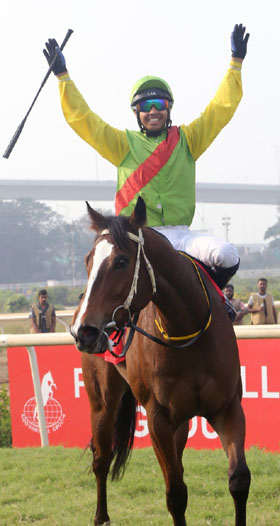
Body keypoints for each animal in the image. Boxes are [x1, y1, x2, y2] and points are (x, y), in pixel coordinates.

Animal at [71, 198, 250, 526]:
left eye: (121, 261)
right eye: (88, 260)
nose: (84, 331)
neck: (187, 329)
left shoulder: (228, 407)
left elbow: (238, 480)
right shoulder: (158, 418)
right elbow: (176, 494)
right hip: (101, 399)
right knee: (101, 458)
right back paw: (101, 516)